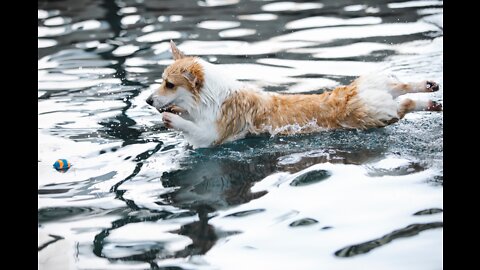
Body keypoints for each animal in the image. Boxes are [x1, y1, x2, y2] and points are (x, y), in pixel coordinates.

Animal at [146, 40, 442, 148]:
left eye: (169, 84)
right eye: (162, 82)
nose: (148, 100)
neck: (208, 98)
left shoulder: (212, 137)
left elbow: (193, 129)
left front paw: (172, 119)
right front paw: (174, 113)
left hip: (373, 113)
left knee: (405, 103)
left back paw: (428, 100)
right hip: (374, 93)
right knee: (402, 88)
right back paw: (429, 89)